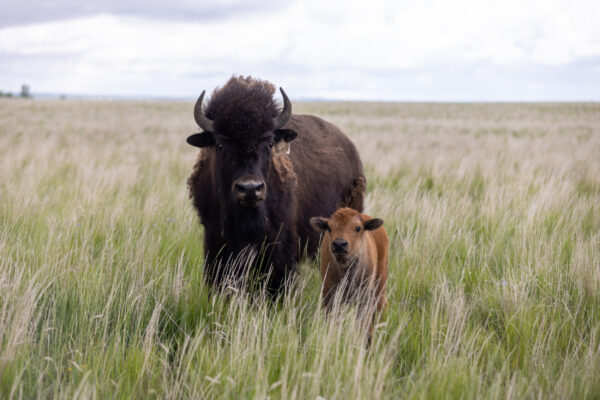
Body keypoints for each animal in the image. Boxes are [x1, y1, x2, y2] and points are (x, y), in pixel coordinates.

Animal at [186, 76, 366, 294]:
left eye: (270, 142)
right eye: (220, 145)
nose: (250, 189)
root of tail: (350, 149)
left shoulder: (280, 244)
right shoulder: (214, 239)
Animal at [310, 208, 390, 342]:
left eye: (357, 228)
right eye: (329, 227)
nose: (339, 244)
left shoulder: (365, 297)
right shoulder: (329, 295)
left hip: (380, 282)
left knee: (381, 305)